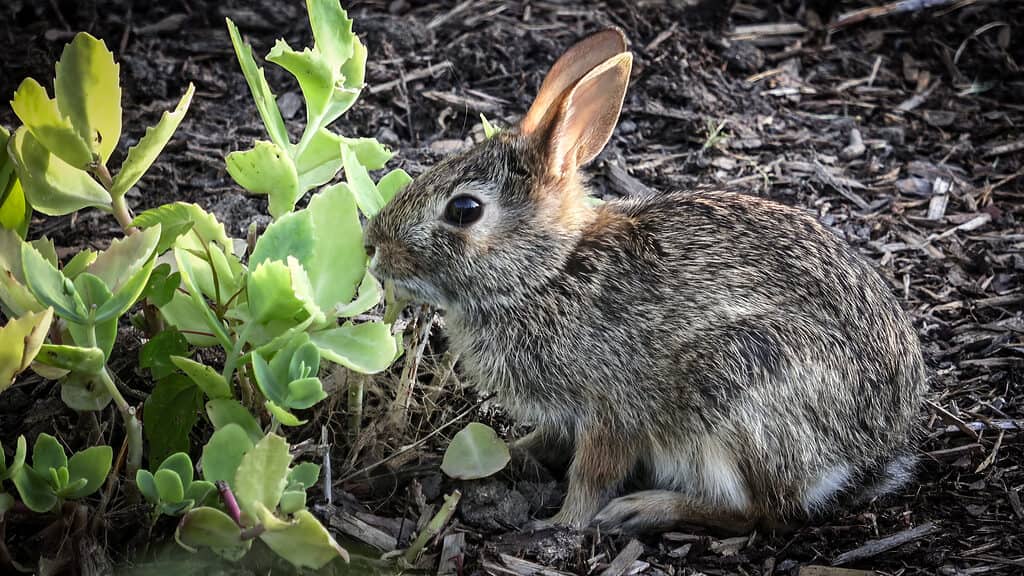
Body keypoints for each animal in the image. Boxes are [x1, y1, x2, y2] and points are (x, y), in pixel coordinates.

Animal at [368, 29, 929, 532]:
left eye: (464, 210)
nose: (374, 247)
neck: (550, 272)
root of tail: (869, 450)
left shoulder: (613, 410)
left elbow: (593, 474)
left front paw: (561, 523)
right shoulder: (564, 415)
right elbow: (548, 442)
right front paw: (510, 452)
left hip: (737, 393)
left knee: (761, 512)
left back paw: (643, 510)